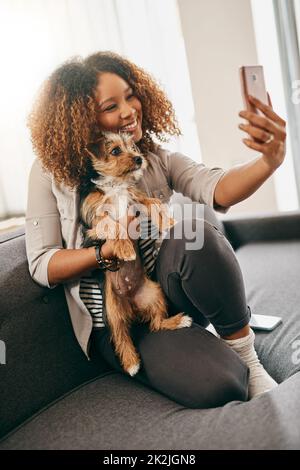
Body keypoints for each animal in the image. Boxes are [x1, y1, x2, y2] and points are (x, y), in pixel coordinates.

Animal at [79, 130, 192, 376]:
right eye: (115, 150)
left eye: (132, 147)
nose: (139, 159)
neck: (116, 184)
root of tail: (132, 308)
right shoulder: (94, 222)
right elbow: (113, 225)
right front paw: (124, 248)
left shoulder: (136, 199)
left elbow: (154, 202)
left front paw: (168, 221)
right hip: (111, 310)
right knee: (121, 335)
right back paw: (131, 363)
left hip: (155, 294)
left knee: (156, 324)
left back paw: (177, 322)